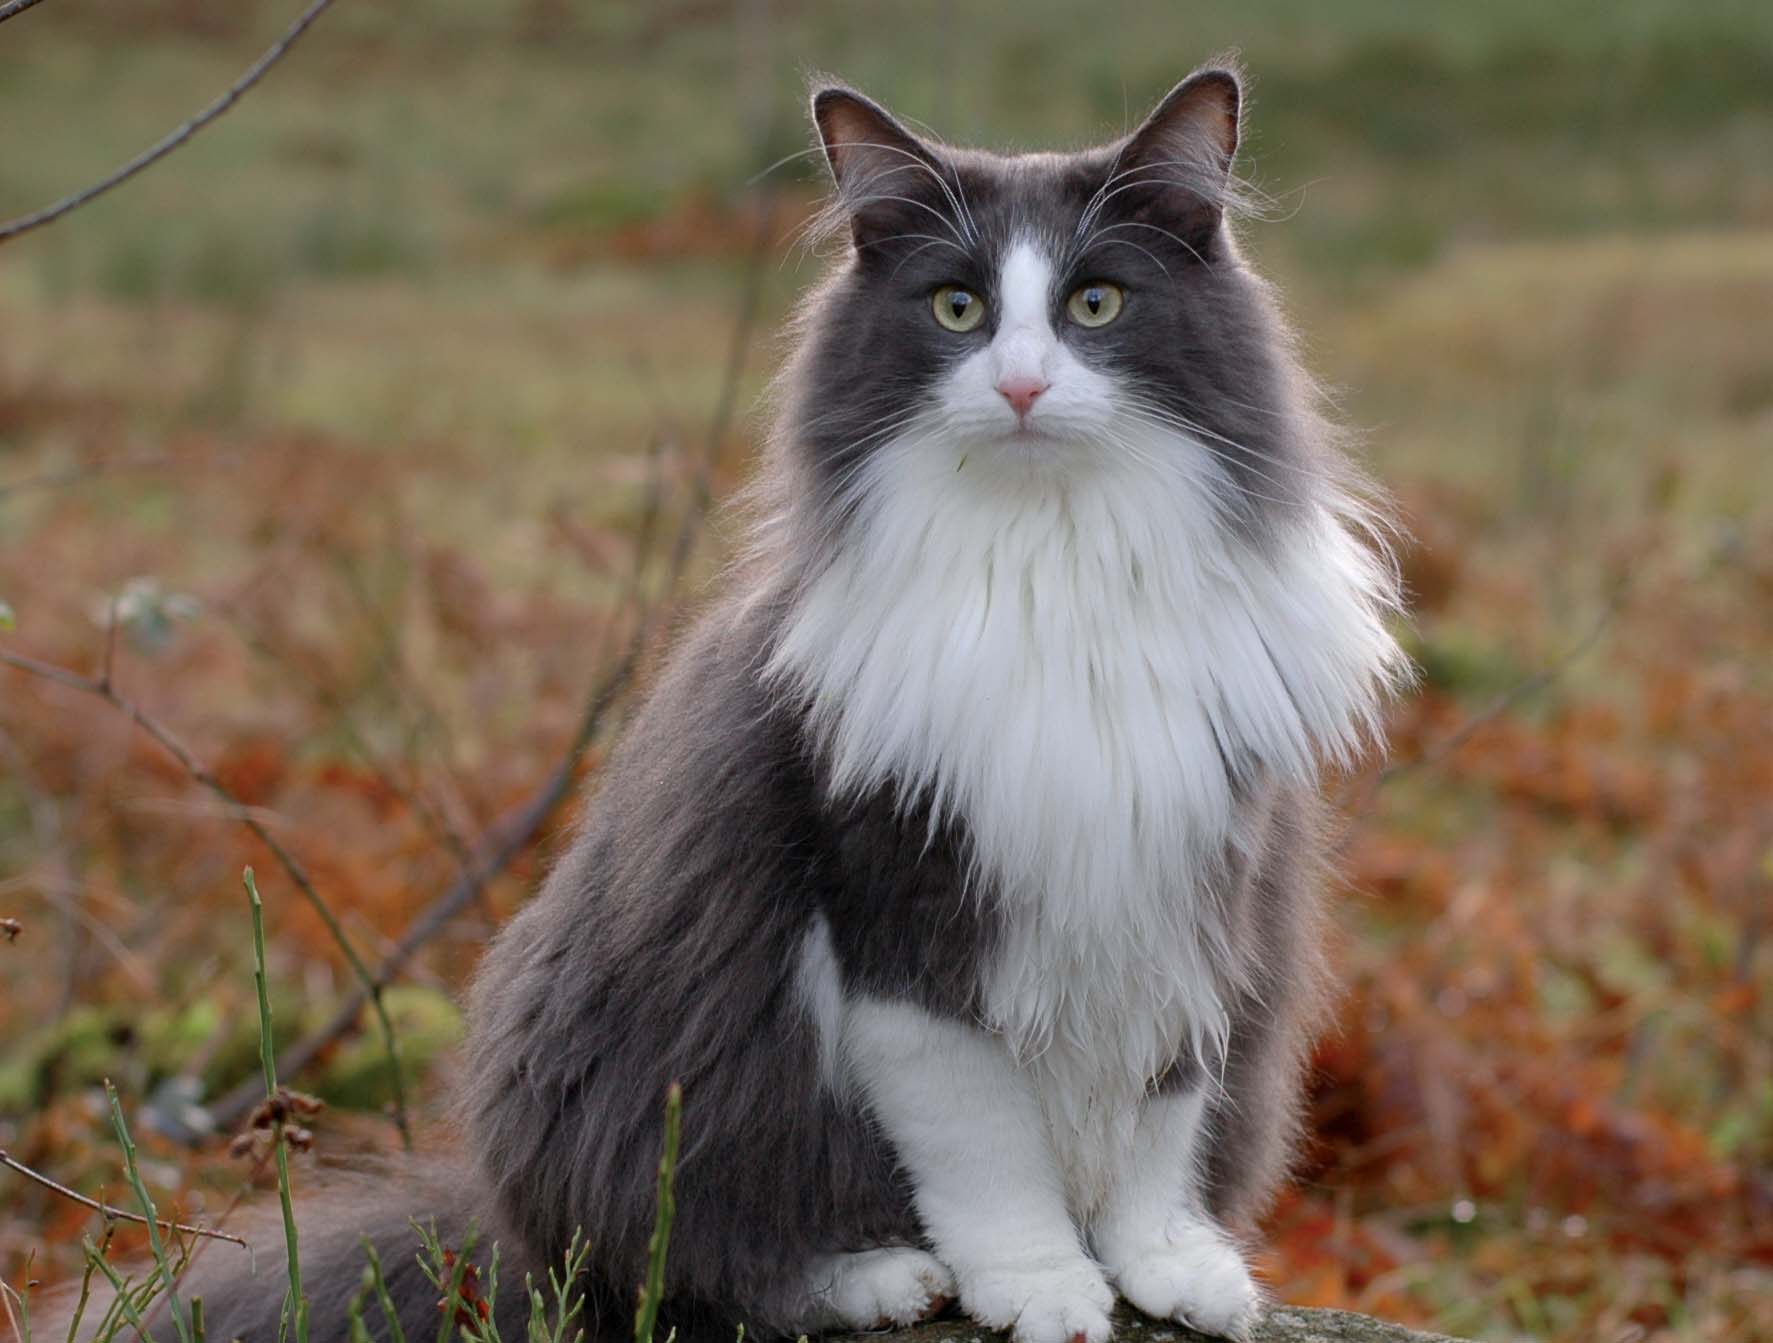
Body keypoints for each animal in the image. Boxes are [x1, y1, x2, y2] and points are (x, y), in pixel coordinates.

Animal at [48, 60, 1411, 1341]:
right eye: (958, 307)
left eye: (1096, 302)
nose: (1023, 385)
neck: (1054, 569)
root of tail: (492, 1217)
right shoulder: (895, 907)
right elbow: (986, 1144)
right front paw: (1038, 1284)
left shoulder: (1199, 881)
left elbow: (1161, 1113)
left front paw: (1167, 1263)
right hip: (637, 1094)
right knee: (684, 1265)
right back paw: (882, 1276)